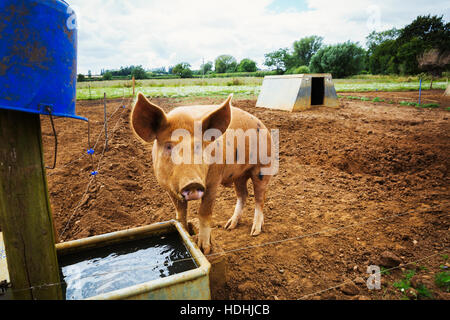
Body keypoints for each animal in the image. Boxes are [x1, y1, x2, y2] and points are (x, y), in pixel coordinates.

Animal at [131, 93, 274, 255]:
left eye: (199, 146)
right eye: (168, 146)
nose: (193, 183)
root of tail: (261, 124)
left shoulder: (213, 182)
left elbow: (204, 213)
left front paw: (205, 250)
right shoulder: (168, 188)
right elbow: (180, 215)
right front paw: (185, 235)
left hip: (263, 167)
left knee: (259, 197)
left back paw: (255, 231)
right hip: (239, 175)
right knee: (243, 195)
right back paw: (229, 226)